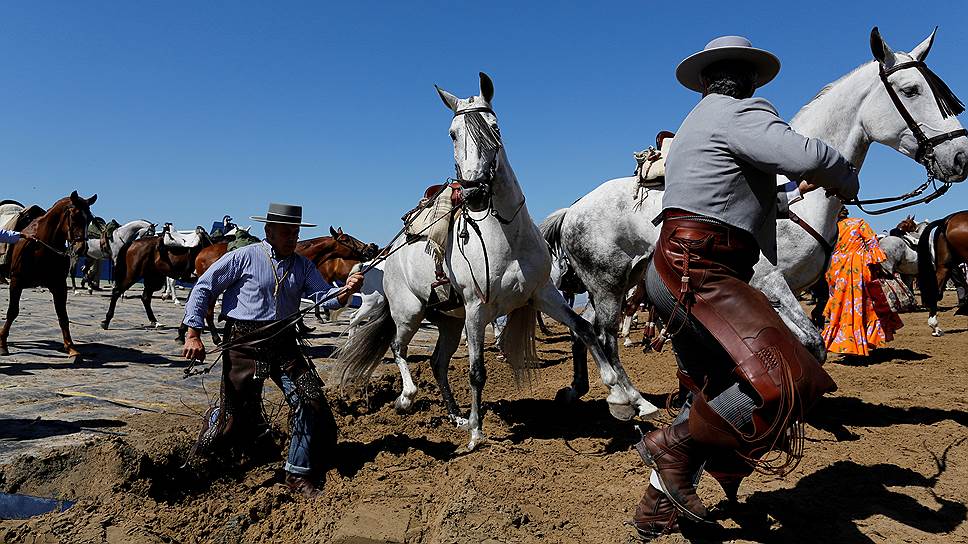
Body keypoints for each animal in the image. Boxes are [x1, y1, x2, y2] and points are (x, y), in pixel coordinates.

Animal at [0, 191, 97, 356]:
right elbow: (12, 311)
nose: (81, 248)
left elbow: (62, 315)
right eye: (74, 216)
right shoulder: (16, 282)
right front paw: (3, 344)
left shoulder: (59, 286)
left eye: (89, 218)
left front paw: (70, 346)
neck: (40, 246)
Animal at [336, 72, 660, 450]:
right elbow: (477, 371)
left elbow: (584, 329)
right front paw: (477, 435)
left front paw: (623, 396)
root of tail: (388, 258)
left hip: (449, 320)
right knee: (399, 348)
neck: (506, 237)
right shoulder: (478, 308)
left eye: (495, 128)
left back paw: (456, 416)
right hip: (410, 312)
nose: (474, 192)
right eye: (452, 133)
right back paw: (408, 400)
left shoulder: (542, 295)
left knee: (437, 362)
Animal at [540, 27, 968, 392]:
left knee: (585, 327)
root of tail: (574, 208)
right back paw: (626, 398)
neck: (798, 198)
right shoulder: (769, 283)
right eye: (911, 90)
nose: (960, 155)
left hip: (621, 282)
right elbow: (810, 344)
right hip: (607, 283)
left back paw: (579, 387)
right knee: (602, 334)